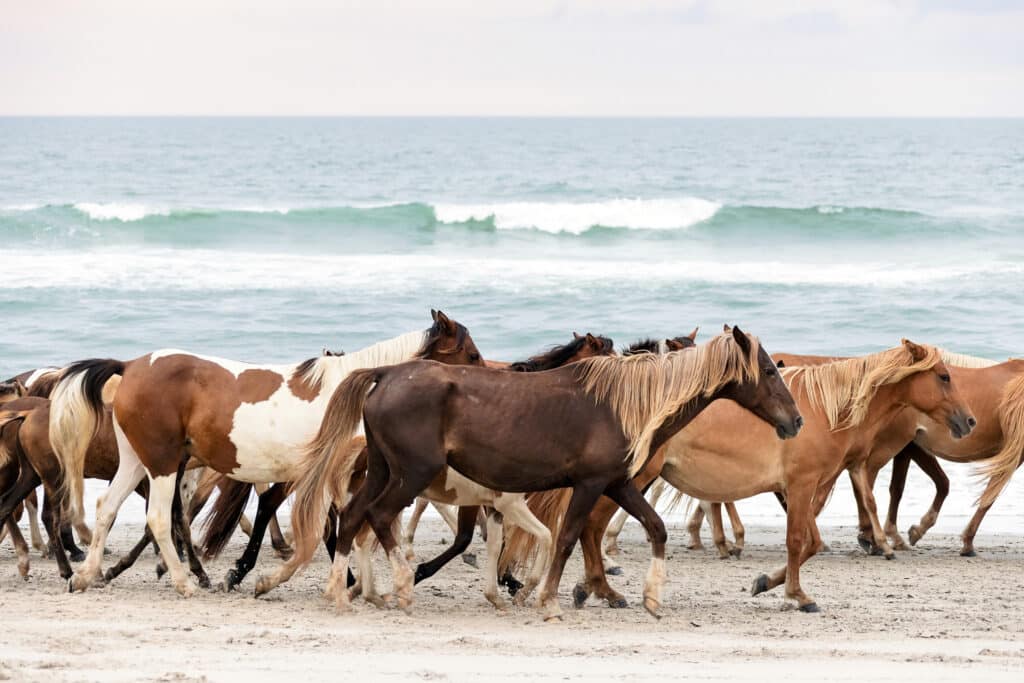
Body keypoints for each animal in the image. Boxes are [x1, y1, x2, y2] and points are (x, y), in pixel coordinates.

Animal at [258, 327, 798, 622]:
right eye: (770, 372)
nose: (795, 422)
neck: (621, 402)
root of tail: (386, 373)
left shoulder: (617, 483)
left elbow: (656, 528)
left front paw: (650, 598)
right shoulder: (588, 486)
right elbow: (566, 538)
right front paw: (549, 601)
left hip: (384, 470)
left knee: (352, 518)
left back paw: (343, 593)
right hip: (409, 476)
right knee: (379, 519)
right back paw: (402, 587)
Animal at [512, 342, 974, 614]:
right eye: (944, 376)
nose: (969, 420)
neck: (823, 410)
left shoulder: (807, 490)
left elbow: (812, 543)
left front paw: (766, 582)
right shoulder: (801, 487)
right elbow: (798, 542)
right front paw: (797, 596)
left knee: (590, 529)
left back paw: (595, 589)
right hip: (629, 480)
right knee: (590, 527)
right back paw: (598, 589)